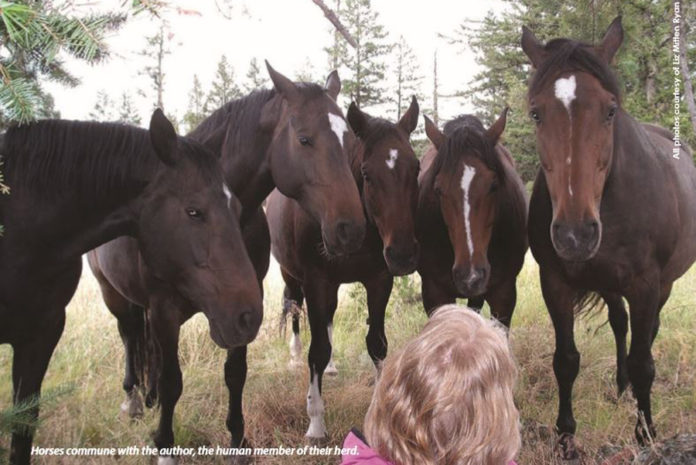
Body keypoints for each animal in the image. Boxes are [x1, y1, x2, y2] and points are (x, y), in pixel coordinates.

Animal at [0, 110, 262, 465]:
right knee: (129, 335)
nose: (249, 316)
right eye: (194, 211)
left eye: (238, 210)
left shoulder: (41, 335)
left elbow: (24, 425)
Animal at [87, 63, 366, 459]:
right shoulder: (164, 308)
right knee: (128, 337)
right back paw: (134, 401)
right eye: (304, 140)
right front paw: (164, 446)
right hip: (112, 294)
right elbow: (173, 382)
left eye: (351, 143)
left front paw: (238, 441)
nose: (350, 229)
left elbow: (235, 372)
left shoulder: (244, 303)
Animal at [267, 97, 420, 441]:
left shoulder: (379, 279)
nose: (404, 255)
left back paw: (331, 365)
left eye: (416, 167)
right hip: (292, 276)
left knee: (327, 320)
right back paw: (295, 356)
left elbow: (376, 343)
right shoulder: (316, 281)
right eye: (366, 172)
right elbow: (316, 350)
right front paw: (315, 423)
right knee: (296, 313)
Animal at [521, 16, 696, 458]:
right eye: (536, 113)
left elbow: (644, 360)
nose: (575, 235)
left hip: (662, 284)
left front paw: (645, 433)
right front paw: (565, 438)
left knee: (646, 333)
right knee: (620, 323)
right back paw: (620, 386)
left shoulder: (647, 284)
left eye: (610, 110)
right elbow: (565, 360)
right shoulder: (555, 283)